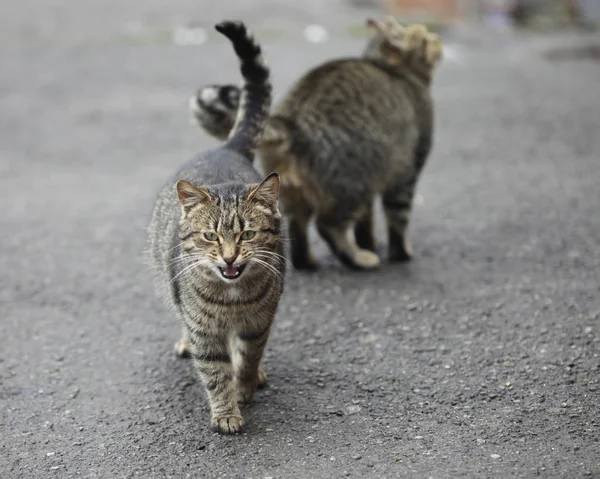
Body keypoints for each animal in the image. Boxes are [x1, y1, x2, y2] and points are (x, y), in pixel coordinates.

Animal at [146, 21, 284, 436]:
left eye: (247, 235)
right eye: (211, 236)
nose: (229, 257)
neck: (233, 300)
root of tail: (227, 148)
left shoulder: (259, 322)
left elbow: (249, 357)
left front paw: (246, 386)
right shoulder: (206, 332)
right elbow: (215, 373)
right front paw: (226, 412)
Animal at [190, 17, 442, 270]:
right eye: (427, 37)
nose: (438, 40)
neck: (390, 67)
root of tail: (293, 123)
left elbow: (366, 223)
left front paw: (369, 243)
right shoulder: (406, 174)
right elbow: (398, 220)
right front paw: (400, 253)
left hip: (294, 194)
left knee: (297, 230)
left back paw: (310, 261)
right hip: (353, 186)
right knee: (328, 226)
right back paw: (359, 259)